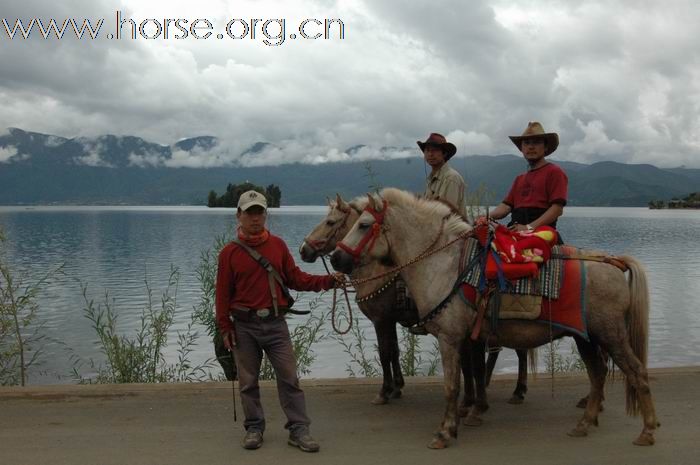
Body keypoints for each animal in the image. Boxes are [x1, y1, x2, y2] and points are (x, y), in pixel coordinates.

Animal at [300, 194, 532, 408]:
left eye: (330, 222)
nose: (304, 250)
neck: (378, 271)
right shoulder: (390, 320)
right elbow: (394, 352)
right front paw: (397, 387)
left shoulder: (381, 319)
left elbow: (384, 353)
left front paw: (384, 391)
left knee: (518, 350)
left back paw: (517, 391)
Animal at [330, 187, 660, 448]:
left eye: (363, 225)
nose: (336, 258)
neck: (444, 265)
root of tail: (614, 262)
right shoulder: (466, 339)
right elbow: (469, 376)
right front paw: (460, 420)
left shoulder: (450, 338)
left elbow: (452, 385)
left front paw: (444, 432)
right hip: (586, 338)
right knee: (598, 374)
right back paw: (584, 423)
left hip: (611, 334)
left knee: (636, 372)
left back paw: (647, 431)